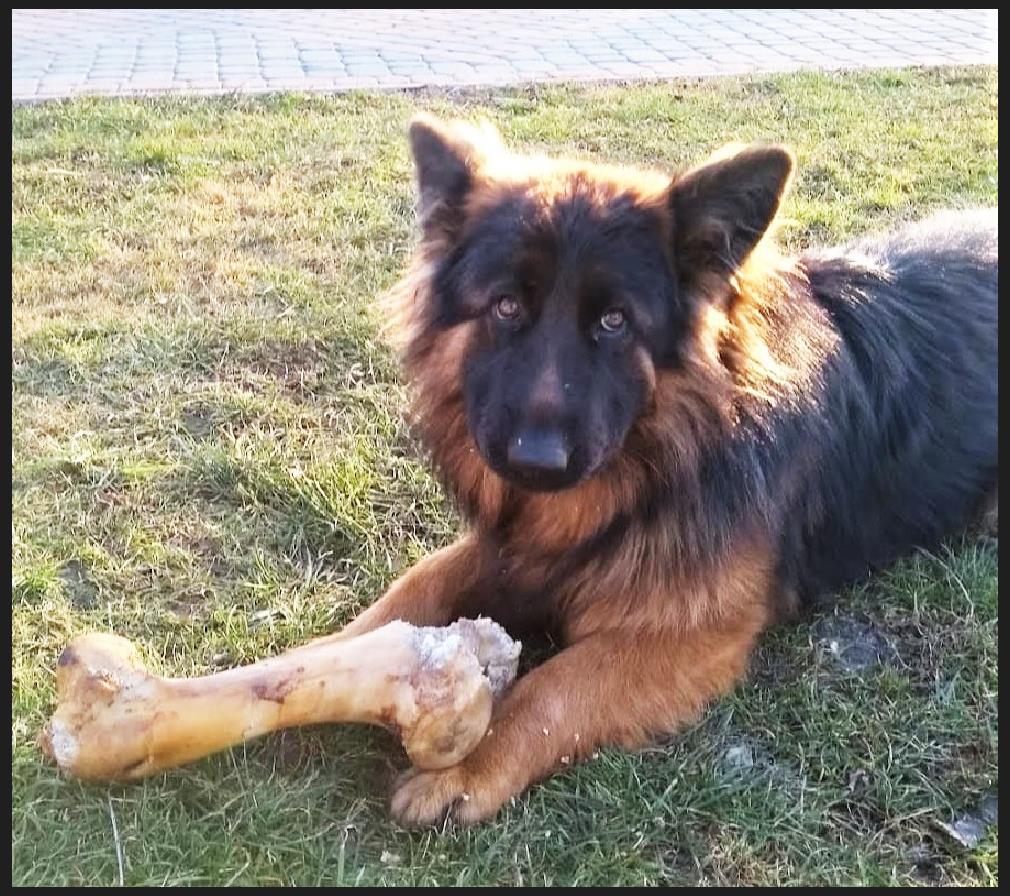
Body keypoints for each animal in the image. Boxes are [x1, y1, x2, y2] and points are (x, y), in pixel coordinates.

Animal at [337, 114, 998, 826]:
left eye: (614, 321)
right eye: (506, 306)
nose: (535, 460)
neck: (644, 477)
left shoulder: (694, 633)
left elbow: (555, 686)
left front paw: (468, 764)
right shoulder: (508, 550)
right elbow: (410, 591)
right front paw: (321, 659)